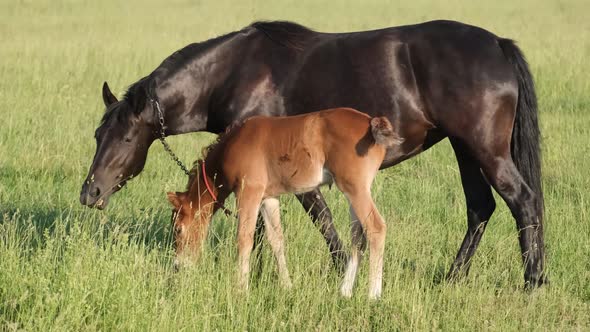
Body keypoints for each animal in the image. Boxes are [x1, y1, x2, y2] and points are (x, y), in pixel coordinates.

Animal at [169, 107, 404, 300]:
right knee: (357, 236)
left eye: (178, 229)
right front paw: (287, 286)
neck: (233, 144)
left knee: (375, 227)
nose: (178, 266)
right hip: (354, 190)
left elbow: (244, 239)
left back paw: (373, 295)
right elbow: (277, 241)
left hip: (354, 188)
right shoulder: (268, 198)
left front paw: (241, 289)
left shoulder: (249, 192)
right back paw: (345, 291)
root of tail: (371, 122)